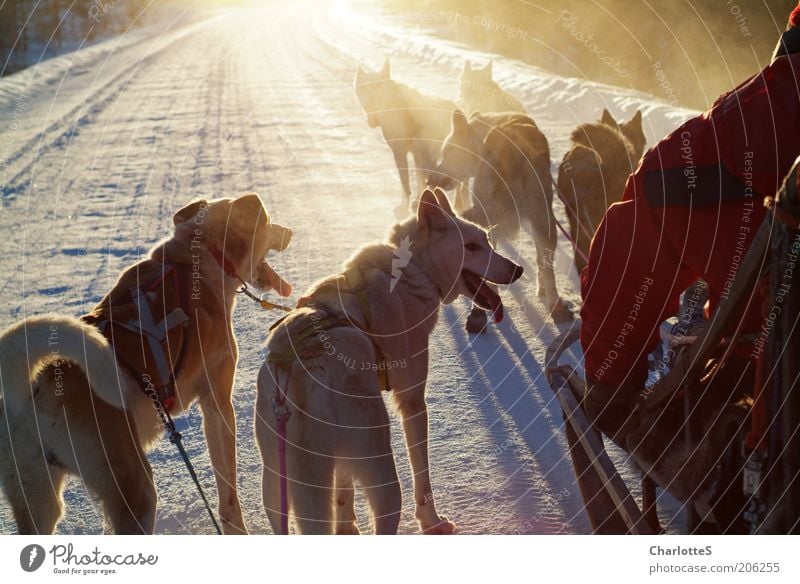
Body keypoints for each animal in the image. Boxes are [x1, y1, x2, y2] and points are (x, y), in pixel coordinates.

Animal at [0, 193, 292, 532]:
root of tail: (35, 384)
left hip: (40, 499)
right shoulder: (216, 403)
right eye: (269, 221)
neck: (197, 256)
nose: (290, 232)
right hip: (136, 492)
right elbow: (228, 494)